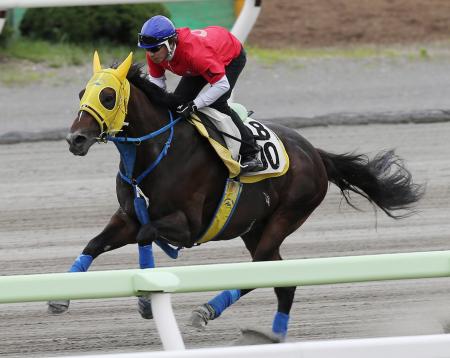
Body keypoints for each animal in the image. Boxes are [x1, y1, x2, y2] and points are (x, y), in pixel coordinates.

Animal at [55, 51, 422, 340]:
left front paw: (147, 300)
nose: (75, 139)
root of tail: (315, 153)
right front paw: (60, 296)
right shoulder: (127, 216)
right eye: (80, 93)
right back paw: (274, 337)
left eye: (107, 97)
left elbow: (147, 234)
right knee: (283, 282)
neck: (157, 151)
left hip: (286, 216)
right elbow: (95, 244)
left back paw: (207, 309)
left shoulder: (187, 226)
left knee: (257, 268)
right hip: (253, 227)